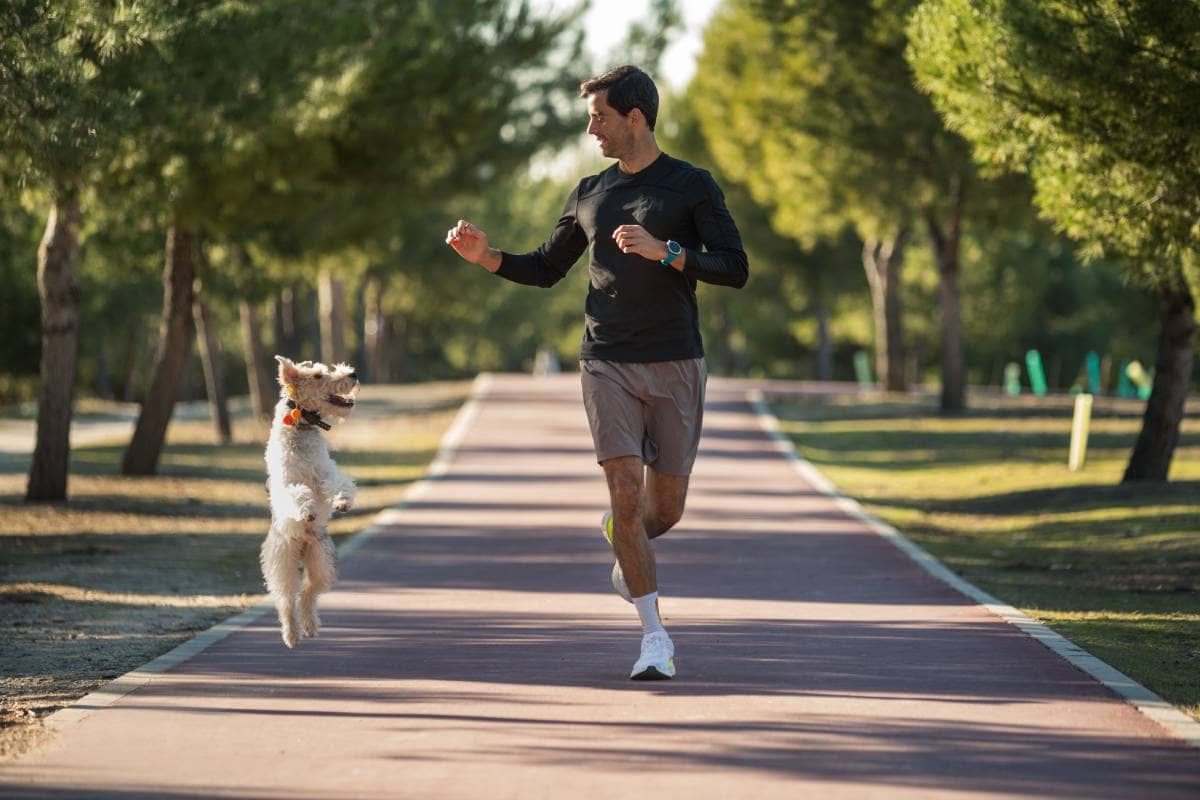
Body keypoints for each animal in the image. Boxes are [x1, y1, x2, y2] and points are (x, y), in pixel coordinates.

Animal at [261, 357, 357, 652]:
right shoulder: (287, 483)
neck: (301, 424)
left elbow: (339, 483)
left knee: (308, 593)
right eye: (316, 375)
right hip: (283, 565)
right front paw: (308, 510)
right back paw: (291, 635)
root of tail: (303, 546)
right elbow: (298, 493)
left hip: (321, 564)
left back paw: (310, 627)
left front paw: (343, 501)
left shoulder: (325, 473)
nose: (353, 373)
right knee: (285, 601)